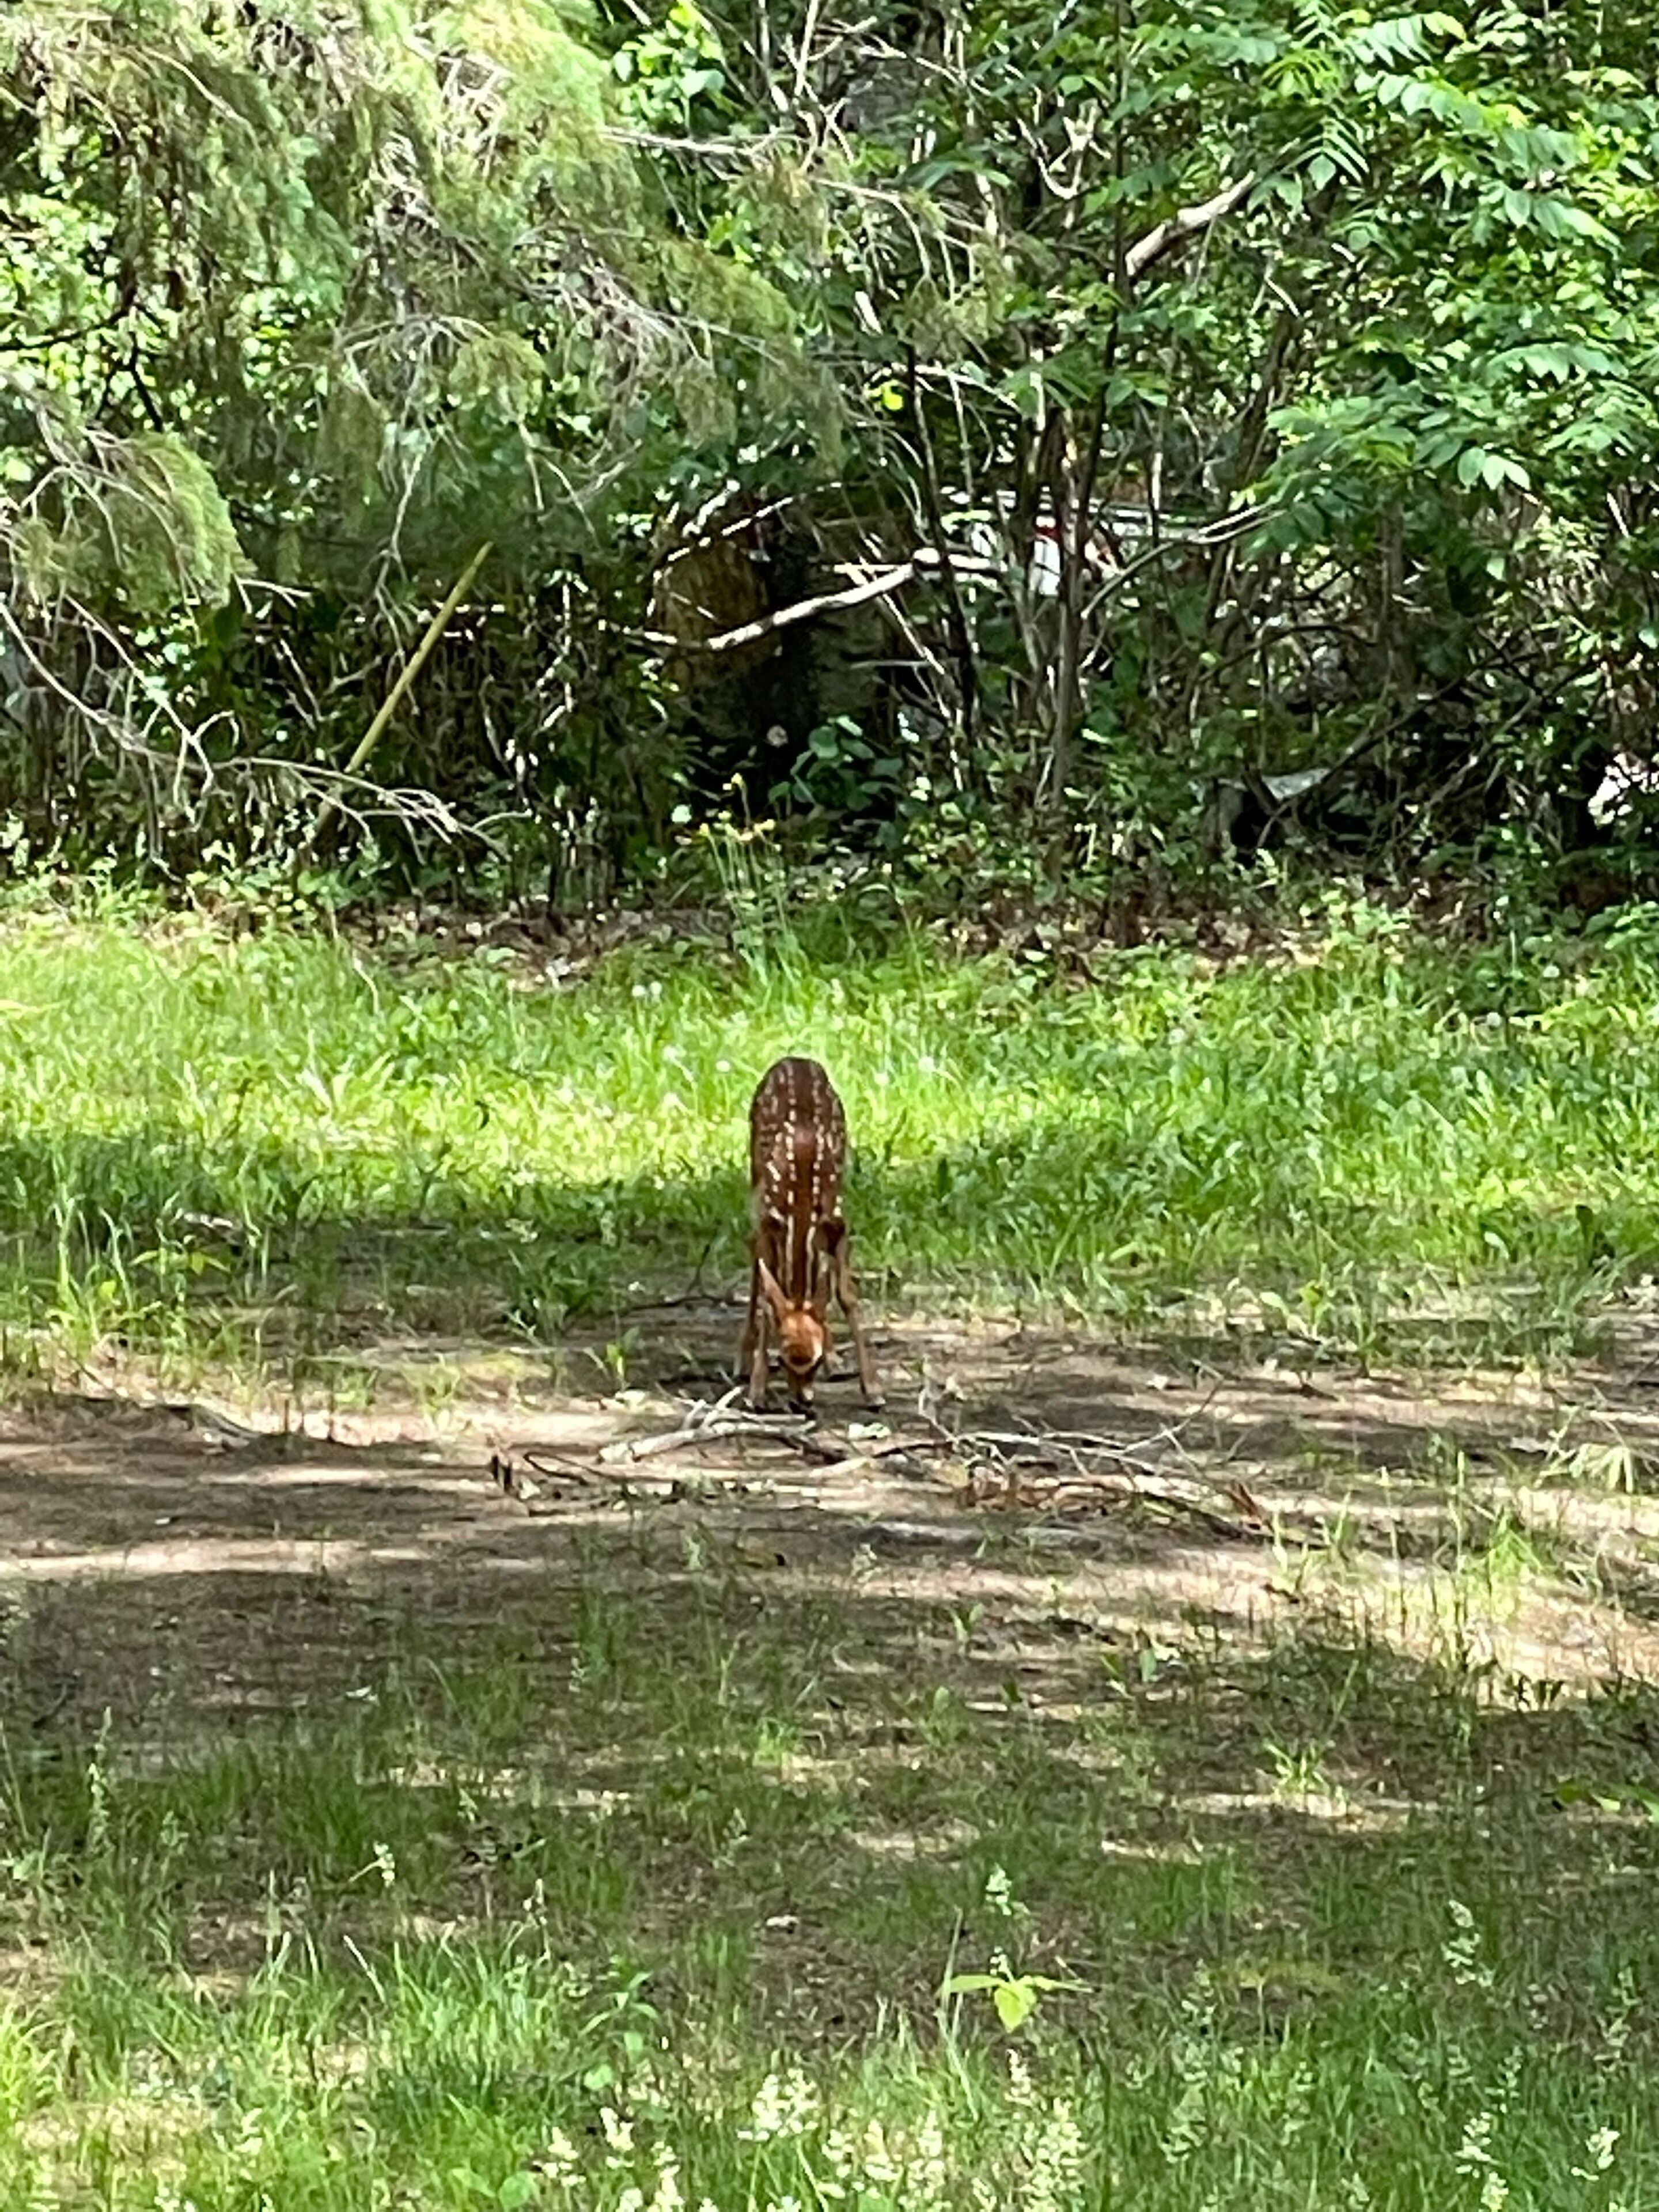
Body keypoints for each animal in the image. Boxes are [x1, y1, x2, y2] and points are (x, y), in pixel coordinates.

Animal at [739, 1055, 882, 1415]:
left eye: (813, 1362)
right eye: (784, 1359)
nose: (801, 1401)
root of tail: (795, 1058)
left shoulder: (838, 1223)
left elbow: (845, 1294)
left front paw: (872, 1388)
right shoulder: (769, 1221)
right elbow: (767, 1295)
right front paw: (757, 1390)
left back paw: (837, 1359)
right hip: (754, 1176)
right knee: (753, 1258)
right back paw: (743, 1357)